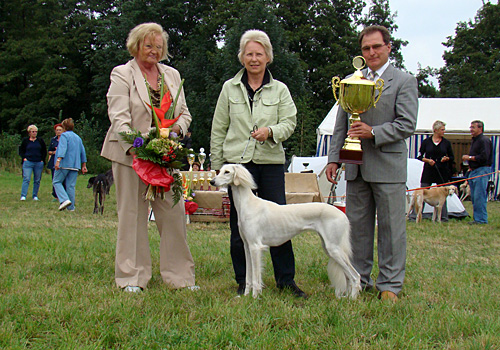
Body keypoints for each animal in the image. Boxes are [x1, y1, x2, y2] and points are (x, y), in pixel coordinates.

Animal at [210, 164, 360, 298]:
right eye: (220, 171)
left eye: (227, 172)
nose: (212, 181)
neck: (248, 204)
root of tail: (342, 214)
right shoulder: (247, 246)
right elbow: (248, 277)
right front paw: (246, 296)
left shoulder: (255, 247)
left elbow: (256, 278)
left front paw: (255, 298)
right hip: (329, 247)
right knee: (348, 276)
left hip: (334, 248)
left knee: (355, 276)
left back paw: (352, 299)